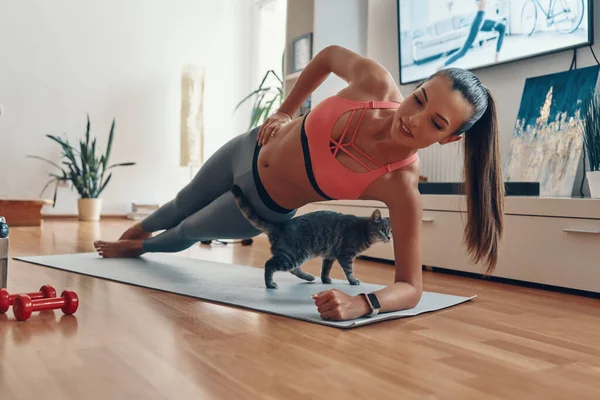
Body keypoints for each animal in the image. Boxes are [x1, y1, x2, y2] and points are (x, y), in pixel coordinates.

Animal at [231, 184, 394, 290]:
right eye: (383, 230)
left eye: (391, 231)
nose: (389, 238)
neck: (362, 229)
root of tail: (280, 226)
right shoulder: (345, 255)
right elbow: (349, 271)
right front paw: (353, 281)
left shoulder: (329, 255)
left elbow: (325, 269)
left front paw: (325, 280)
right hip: (294, 255)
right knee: (269, 264)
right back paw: (270, 284)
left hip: (295, 256)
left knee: (293, 269)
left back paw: (309, 277)